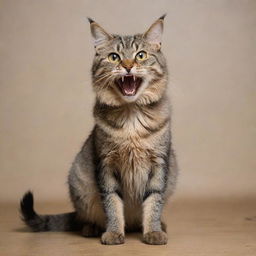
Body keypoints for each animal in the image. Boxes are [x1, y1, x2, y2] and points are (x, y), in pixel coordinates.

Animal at [19, 14, 178, 246]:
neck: (131, 118)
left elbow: (154, 201)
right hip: (80, 185)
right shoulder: (106, 164)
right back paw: (91, 228)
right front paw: (113, 233)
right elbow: (112, 203)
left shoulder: (159, 164)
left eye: (140, 55)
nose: (128, 66)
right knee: (85, 218)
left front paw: (153, 231)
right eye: (114, 57)